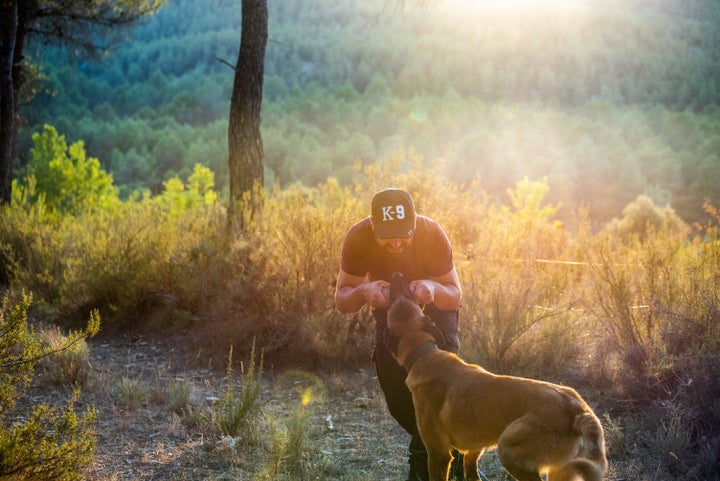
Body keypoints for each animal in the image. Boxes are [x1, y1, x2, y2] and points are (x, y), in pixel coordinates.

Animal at [388, 270, 608, 480]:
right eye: (408, 296)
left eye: (395, 299)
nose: (397, 275)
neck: (423, 353)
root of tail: (578, 409)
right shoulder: (474, 449)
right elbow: (471, 471)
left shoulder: (438, 455)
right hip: (560, 470)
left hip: (508, 450)